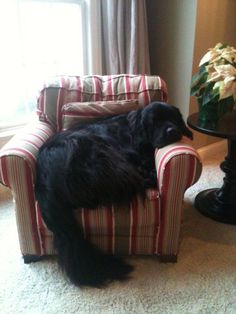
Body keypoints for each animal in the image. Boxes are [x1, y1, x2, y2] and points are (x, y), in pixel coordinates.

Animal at [35, 102, 194, 288]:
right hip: (92, 148)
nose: (172, 131)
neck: (133, 130)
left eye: (173, 117)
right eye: (154, 122)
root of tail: (44, 179)